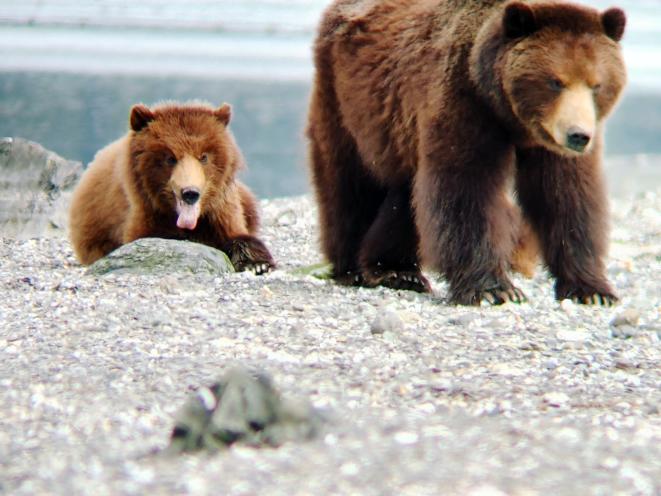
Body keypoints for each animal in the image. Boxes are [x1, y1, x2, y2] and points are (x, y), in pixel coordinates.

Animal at [69, 101, 275, 273]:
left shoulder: (221, 207)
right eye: (170, 158)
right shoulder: (142, 210)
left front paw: (258, 264)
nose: (190, 193)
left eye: (204, 156)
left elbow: (236, 234)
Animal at [307, 0, 626, 305]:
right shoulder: (464, 103)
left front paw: (593, 290)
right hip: (347, 103)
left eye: (596, 84)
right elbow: (466, 189)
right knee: (350, 185)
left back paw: (398, 270)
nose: (578, 136)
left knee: (405, 195)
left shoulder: (550, 146)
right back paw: (354, 268)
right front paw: (494, 289)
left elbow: (566, 197)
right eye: (555, 81)